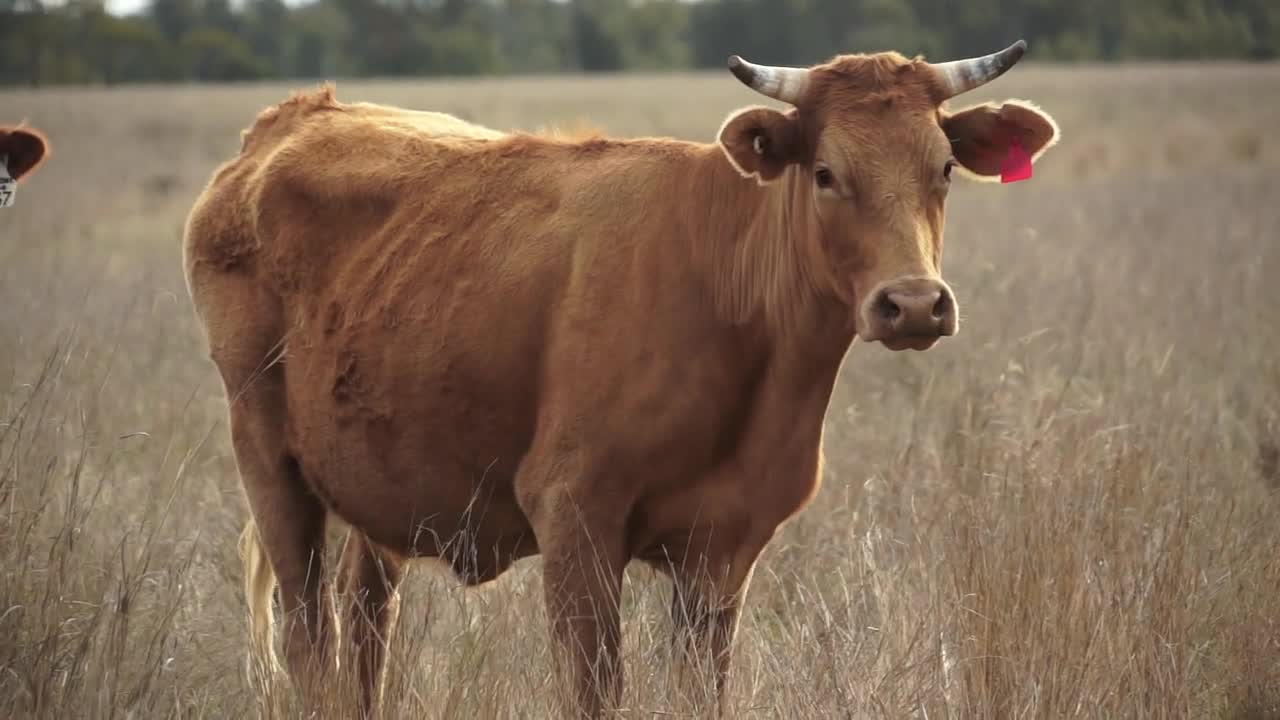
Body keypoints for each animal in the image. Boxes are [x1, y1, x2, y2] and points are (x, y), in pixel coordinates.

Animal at [183, 40, 1058, 718]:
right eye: (824, 172)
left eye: (943, 168)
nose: (912, 303)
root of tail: (292, 119)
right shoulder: (575, 518)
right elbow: (593, 689)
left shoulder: (724, 553)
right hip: (270, 464)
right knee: (309, 638)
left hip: (375, 496)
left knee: (366, 637)